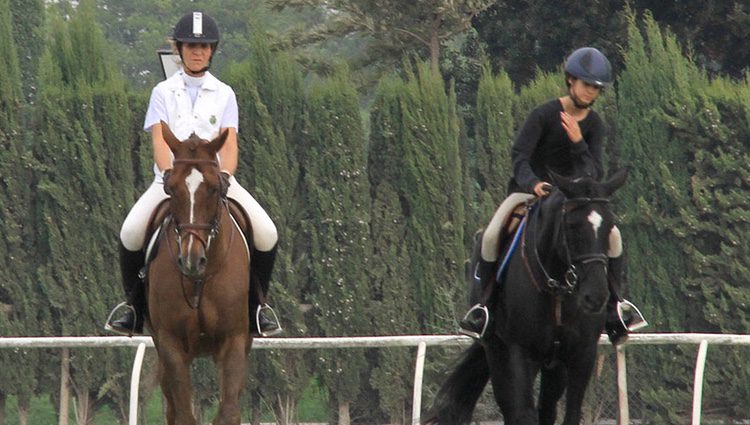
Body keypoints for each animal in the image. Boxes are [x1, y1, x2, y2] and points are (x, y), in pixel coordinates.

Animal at [147, 123, 253, 424]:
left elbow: (228, 413)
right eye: (171, 189)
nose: (192, 260)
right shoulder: (170, 343)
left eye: (215, 188)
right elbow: (184, 414)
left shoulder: (234, 341)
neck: (200, 280)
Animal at [426, 170, 632, 424]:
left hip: (553, 364)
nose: (595, 296)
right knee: (513, 408)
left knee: (547, 407)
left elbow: (571, 412)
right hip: (498, 352)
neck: (557, 290)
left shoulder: (583, 352)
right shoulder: (518, 353)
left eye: (610, 226)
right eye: (572, 225)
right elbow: (522, 413)